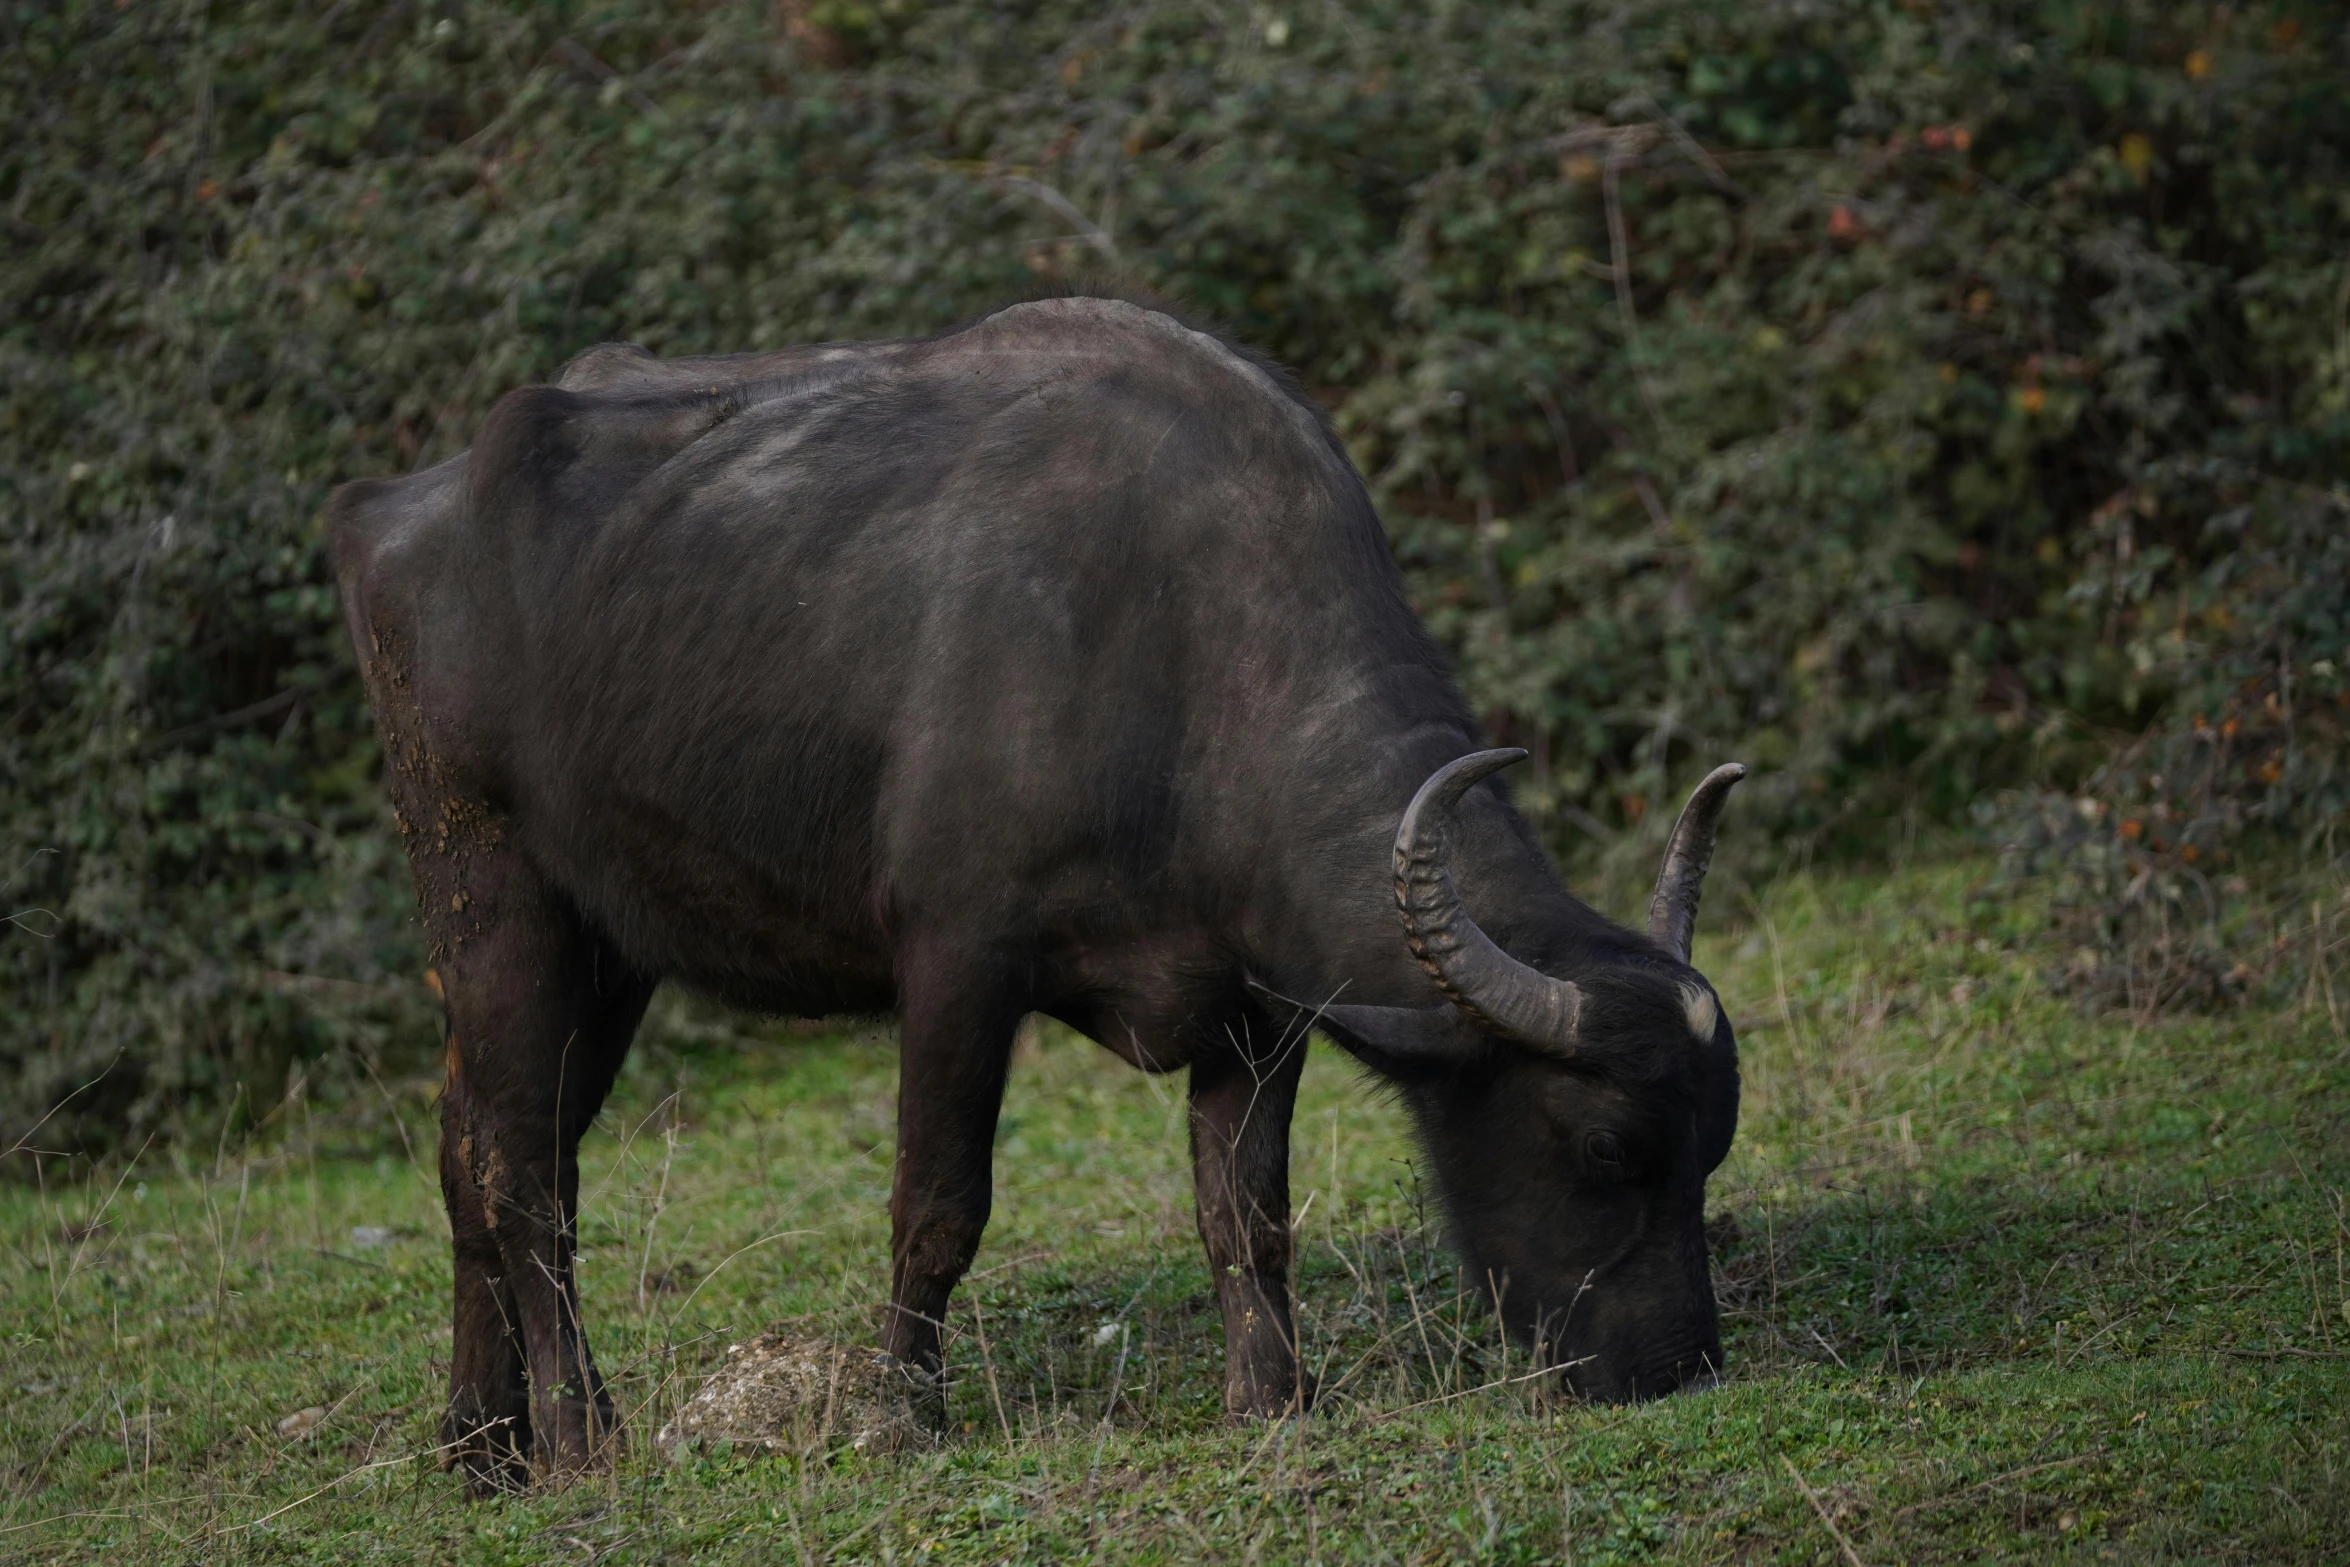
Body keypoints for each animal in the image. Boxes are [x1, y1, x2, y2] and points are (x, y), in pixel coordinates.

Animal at [331, 297, 1748, 1494]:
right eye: (1606, 1148)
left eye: (1710, 1146)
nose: (1679, 1367)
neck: (1178, 656)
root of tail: (402, 505)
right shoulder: (958, 960)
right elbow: (937, 1205)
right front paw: (900, 1413)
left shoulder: (1253, 1011)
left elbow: (1246, 1212)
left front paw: (1271, 1398)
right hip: (488, 887)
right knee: (519, 1168)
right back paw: (580, 1436)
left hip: (609, 942)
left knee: (474, 1147)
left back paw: (481, 1440)